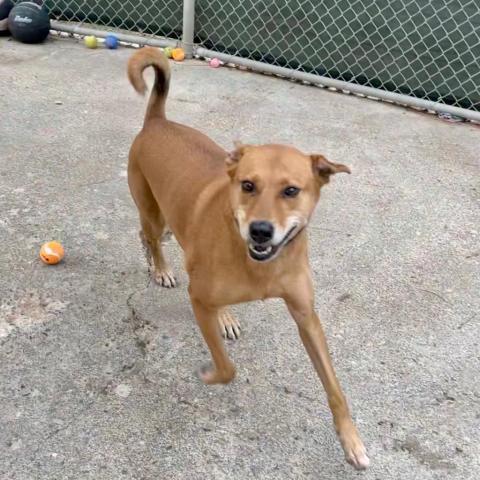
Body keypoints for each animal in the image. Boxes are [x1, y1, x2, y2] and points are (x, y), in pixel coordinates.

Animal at [125, 47, 370, 468]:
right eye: (248, 185)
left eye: (291, 190)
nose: (260, 231)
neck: (261, 267)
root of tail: (158, 122)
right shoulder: (198, 299)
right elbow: (227, 368)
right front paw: (209, 374)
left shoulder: (306, 316)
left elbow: (335, 388)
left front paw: (351, 440)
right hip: (153, 213)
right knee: (149, 236)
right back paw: (161, 267)